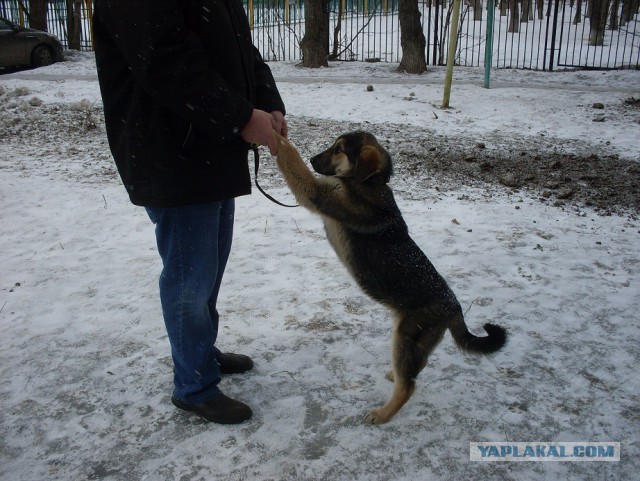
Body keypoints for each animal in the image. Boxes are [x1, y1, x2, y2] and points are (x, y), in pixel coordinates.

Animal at [272, 131, 508, 424]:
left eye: (339, 149)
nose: (314, 159)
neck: (368, 181)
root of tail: (455, 306)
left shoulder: (317, 192)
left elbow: (291, 160)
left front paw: (275, 136)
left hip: (407, 336)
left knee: (409, 386)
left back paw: (382, 414)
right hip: (412, 337)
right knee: (418, 366)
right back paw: (393, 377)